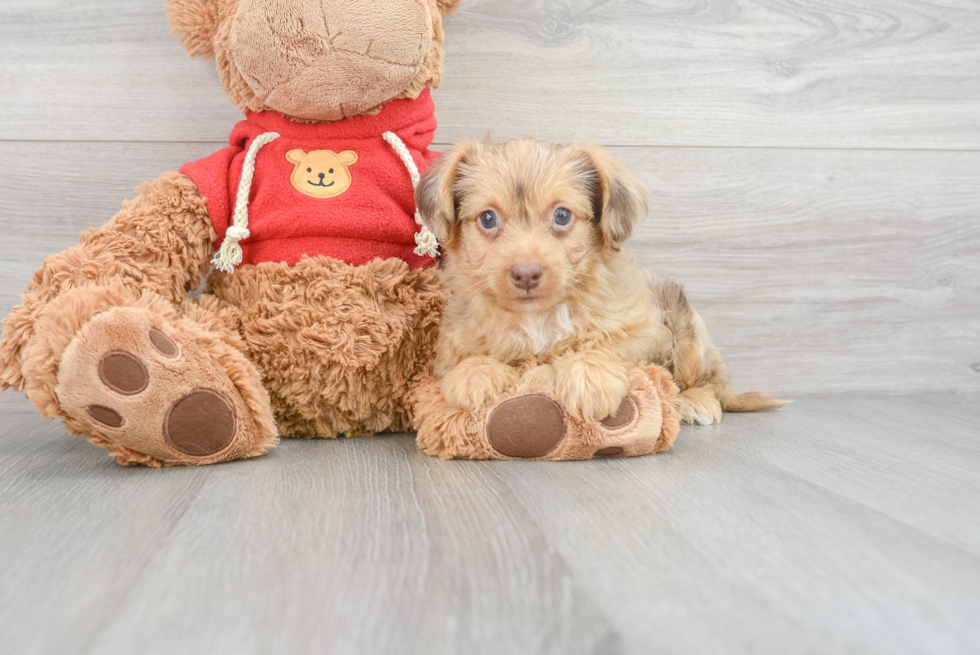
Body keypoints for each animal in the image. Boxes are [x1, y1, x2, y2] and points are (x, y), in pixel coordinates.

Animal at [418, 138, 784, 426]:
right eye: (488, 219)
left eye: (562, 215)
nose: (526, 273)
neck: (539, 317)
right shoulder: (450, 346)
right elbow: (467, 358)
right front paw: (474, 374)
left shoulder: (647, 332)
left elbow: (604, 343)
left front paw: (590, 376)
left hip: (688, 329)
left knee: (708, 383)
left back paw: (696, 402)